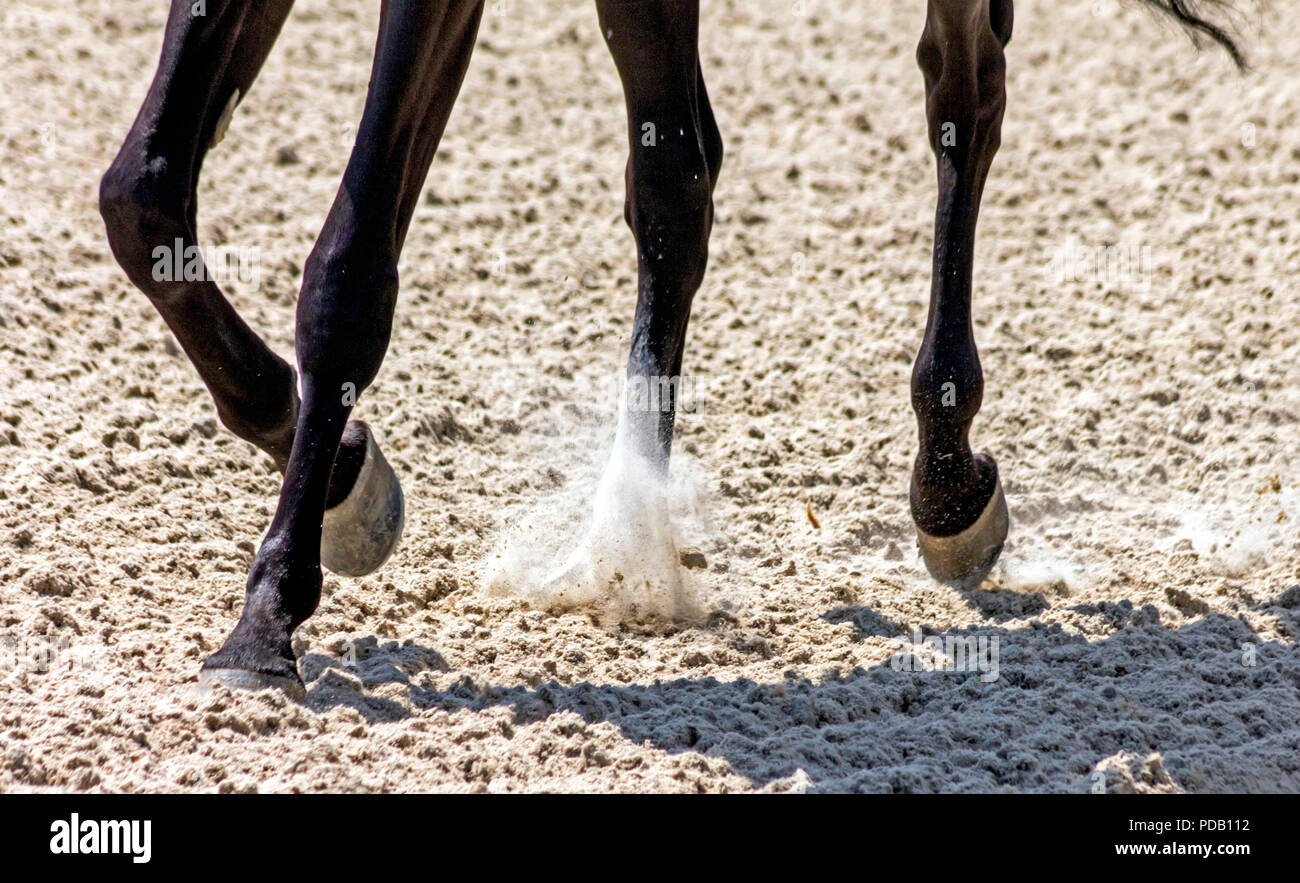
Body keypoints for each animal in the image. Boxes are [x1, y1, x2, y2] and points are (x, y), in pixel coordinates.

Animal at [98, 0, 1248, 698]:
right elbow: (141, 197)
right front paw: (340, 473)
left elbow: (347, 268)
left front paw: (265, 622)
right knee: (676, 178)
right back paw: (630, 527)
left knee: (963, 92)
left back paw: (946, 479)